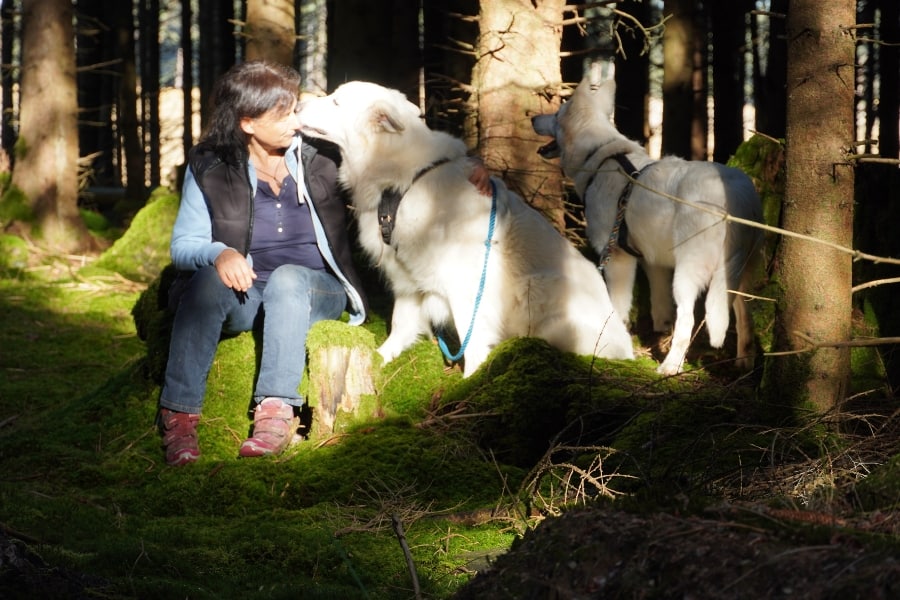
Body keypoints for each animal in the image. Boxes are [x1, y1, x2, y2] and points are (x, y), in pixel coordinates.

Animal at [296, 79, 632, 376]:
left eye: (336, 102)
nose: (298, 105)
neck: (404, 182)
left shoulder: (466, 281)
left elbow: (471, 336)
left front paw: (471, 377)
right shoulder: (405, 276)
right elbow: (402, 322)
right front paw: (383, 357)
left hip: (539, 285)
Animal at [532, 75, 764, 376]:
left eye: (556, 114)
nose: (532, 116)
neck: (599, 159)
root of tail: (738, 196)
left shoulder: (617, 258)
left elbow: (617, 307)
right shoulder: (653, 262)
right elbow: (659, 304)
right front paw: (658, 331)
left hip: (688, 275)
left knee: (687, 320)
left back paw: (671, 366)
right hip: (739, 276)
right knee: (744, 317)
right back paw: (743, 363)